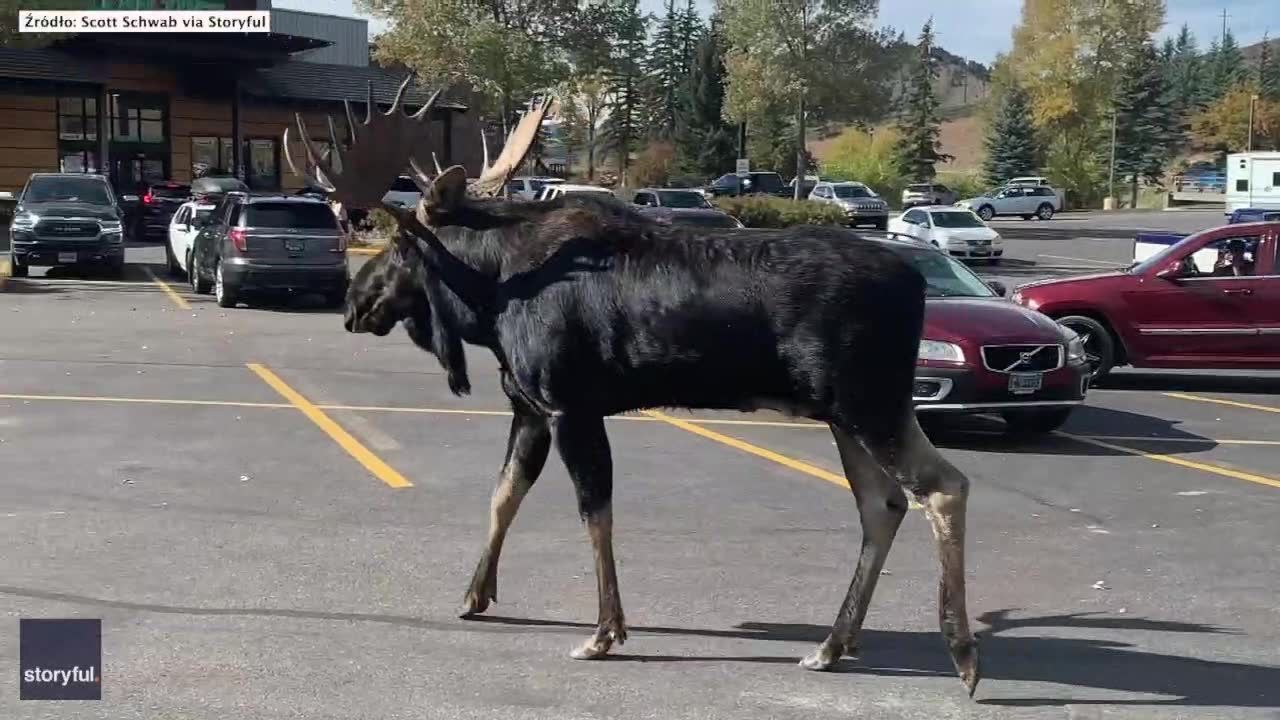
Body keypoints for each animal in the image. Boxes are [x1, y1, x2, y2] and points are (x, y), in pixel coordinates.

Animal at [280, 75, 977, 691]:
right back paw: (833, 645)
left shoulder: (570, 403)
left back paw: (962, 654)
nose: (354, 301)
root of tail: (917, 284)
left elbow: (595, 511)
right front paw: (475, 594)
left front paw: (604, 632)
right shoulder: (528, 406)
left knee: (944, 487)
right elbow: (502, 496)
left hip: (869, 400)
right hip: (843, 412)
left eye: (401, 247)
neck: (491, 296)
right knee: (883, 505)